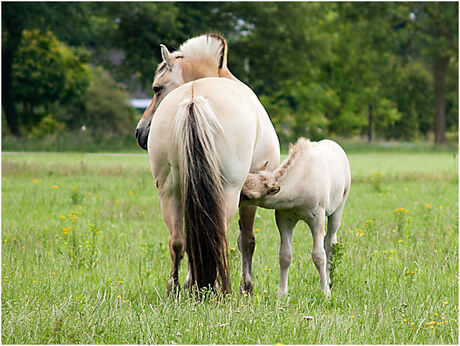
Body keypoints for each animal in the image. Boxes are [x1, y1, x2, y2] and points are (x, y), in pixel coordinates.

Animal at [136, 35, 280, 294]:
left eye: (156, 88)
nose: (140, 133)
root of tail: (194, 98)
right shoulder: (249, 198)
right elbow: (247, 241)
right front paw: (247, 287)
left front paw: (189, 282)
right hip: (227, 192)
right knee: (216, 237)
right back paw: (215, 289)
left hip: (169, 190)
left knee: (178, 241)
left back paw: (176, 288)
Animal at [239, 138, 350, 298]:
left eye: (248, 196)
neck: (300, 182)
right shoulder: (284, 218)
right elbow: (285, 255)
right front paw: (282, 293)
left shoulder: (317, 217)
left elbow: (318, 255)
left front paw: (325, 293)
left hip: (338, 208)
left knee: (330, 242)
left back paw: (329, 281)